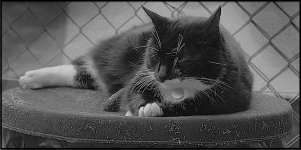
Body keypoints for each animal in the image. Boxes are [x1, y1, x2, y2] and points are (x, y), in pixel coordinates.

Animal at [18, 6, 252, 117]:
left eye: (181, 57)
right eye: (155, 53)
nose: (161, 75)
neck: (179, 89)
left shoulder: (230, 98)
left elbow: (191, 107)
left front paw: (153, 109)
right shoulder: (141, 75)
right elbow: (133, 91)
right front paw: (140, 107)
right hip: (118, 53)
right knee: (92, 66)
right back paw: (32, 77)